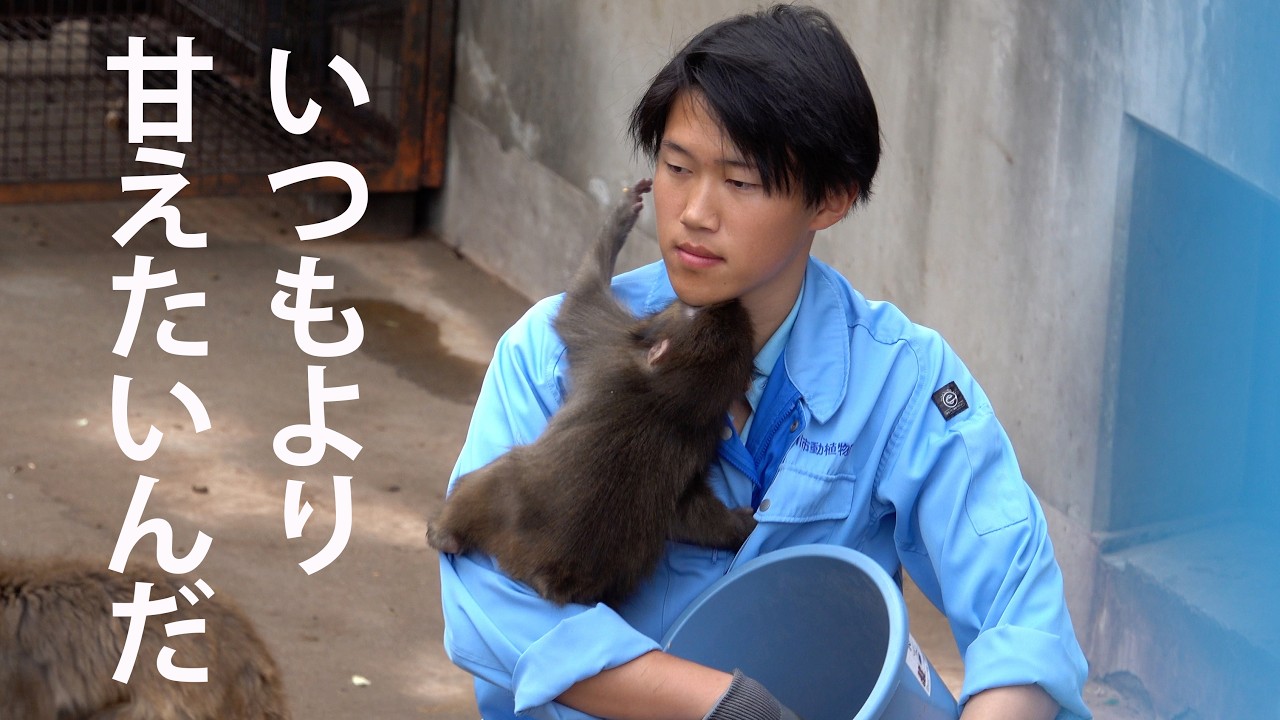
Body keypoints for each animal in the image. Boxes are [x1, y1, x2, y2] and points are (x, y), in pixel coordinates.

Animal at [427, 178, 758, 607]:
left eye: (690, 310)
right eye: (701, 309)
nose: (727, 301)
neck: (670, 395)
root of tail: (551, 574)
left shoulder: (609, 344)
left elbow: (580, 302)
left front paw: (620, 215)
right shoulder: (702, 437)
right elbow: (688, 510)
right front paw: (740, 527)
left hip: (502, 502)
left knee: (494, 477)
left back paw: (445, 532)